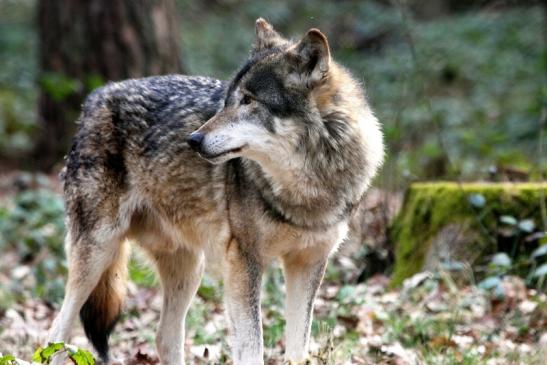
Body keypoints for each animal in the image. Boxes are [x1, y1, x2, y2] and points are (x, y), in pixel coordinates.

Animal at [48, 18, 386, 362]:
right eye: (228, 99)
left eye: (248, 100)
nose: (193, 140)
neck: (308, 190)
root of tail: (96, 96)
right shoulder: (244, 262)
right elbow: (252, 348)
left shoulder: (309, 264)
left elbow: (297, 350)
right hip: (98, 252)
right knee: (57, 331)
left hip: (188, 268)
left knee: (164, 337)